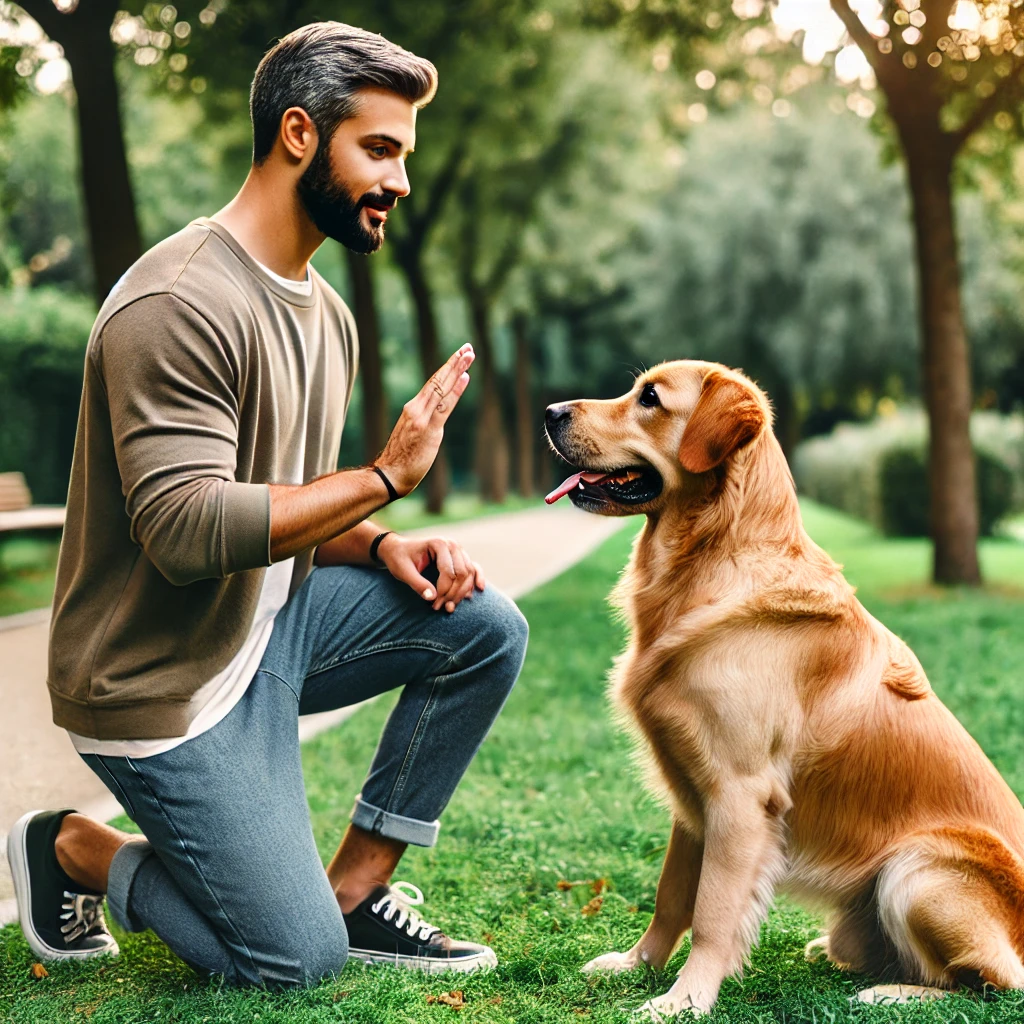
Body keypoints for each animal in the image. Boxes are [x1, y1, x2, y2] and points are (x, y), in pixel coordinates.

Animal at [544, 360, 1024, 1015]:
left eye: (650, 399)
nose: (549, 412)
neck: (712, 562)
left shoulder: (741, 795)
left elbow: (713, 911)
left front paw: (684, 1000)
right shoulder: (691, 793)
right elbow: (671, 897)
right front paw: (636, 966)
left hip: (916, 867)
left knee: (992, 981)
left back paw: (891, 993)